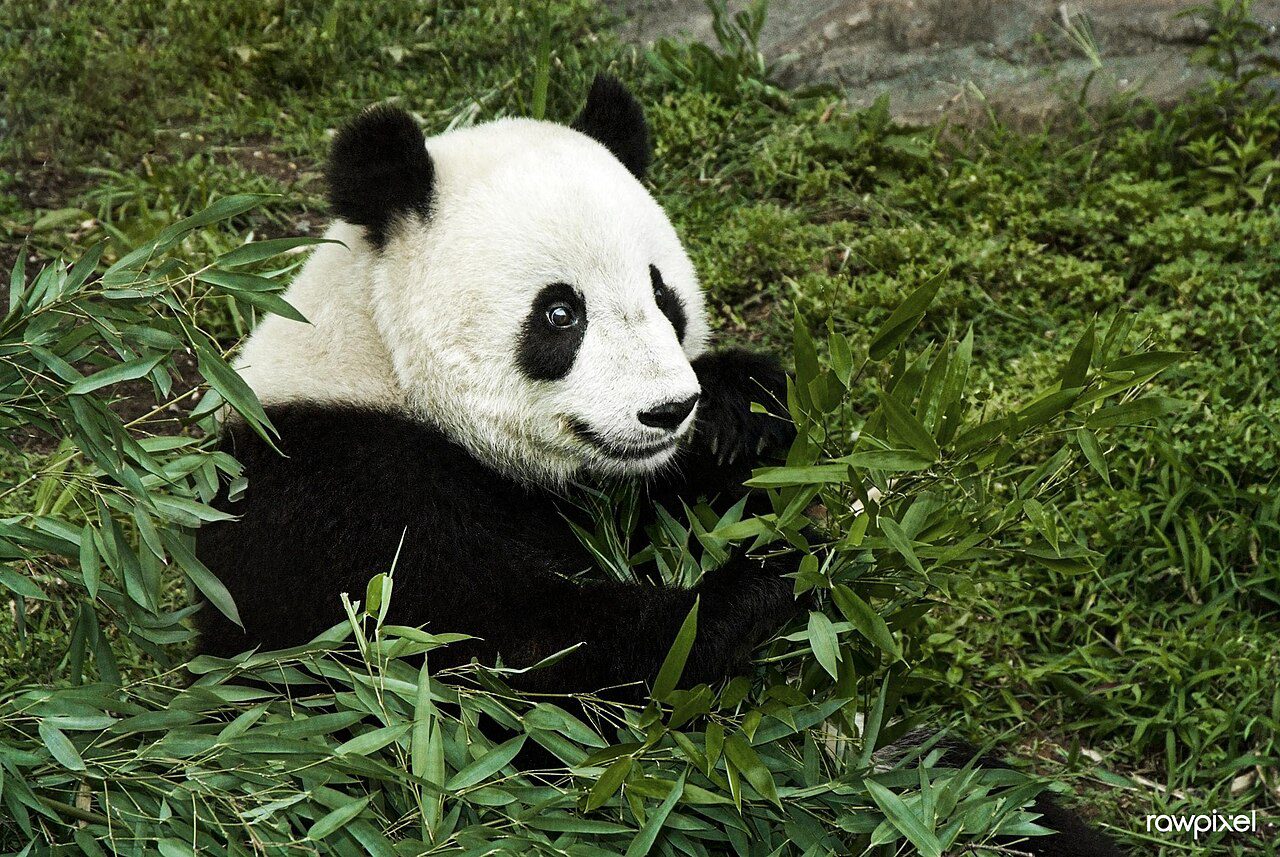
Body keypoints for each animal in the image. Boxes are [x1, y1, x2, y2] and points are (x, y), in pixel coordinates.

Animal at [195, 75, 1122, 856]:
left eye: (662, 294)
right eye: (560, 313)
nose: (667, 410)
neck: (378, 369)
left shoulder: (634, 494)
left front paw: (741, 415)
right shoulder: (334, 505)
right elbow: (506, 667)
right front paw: (760, 585)